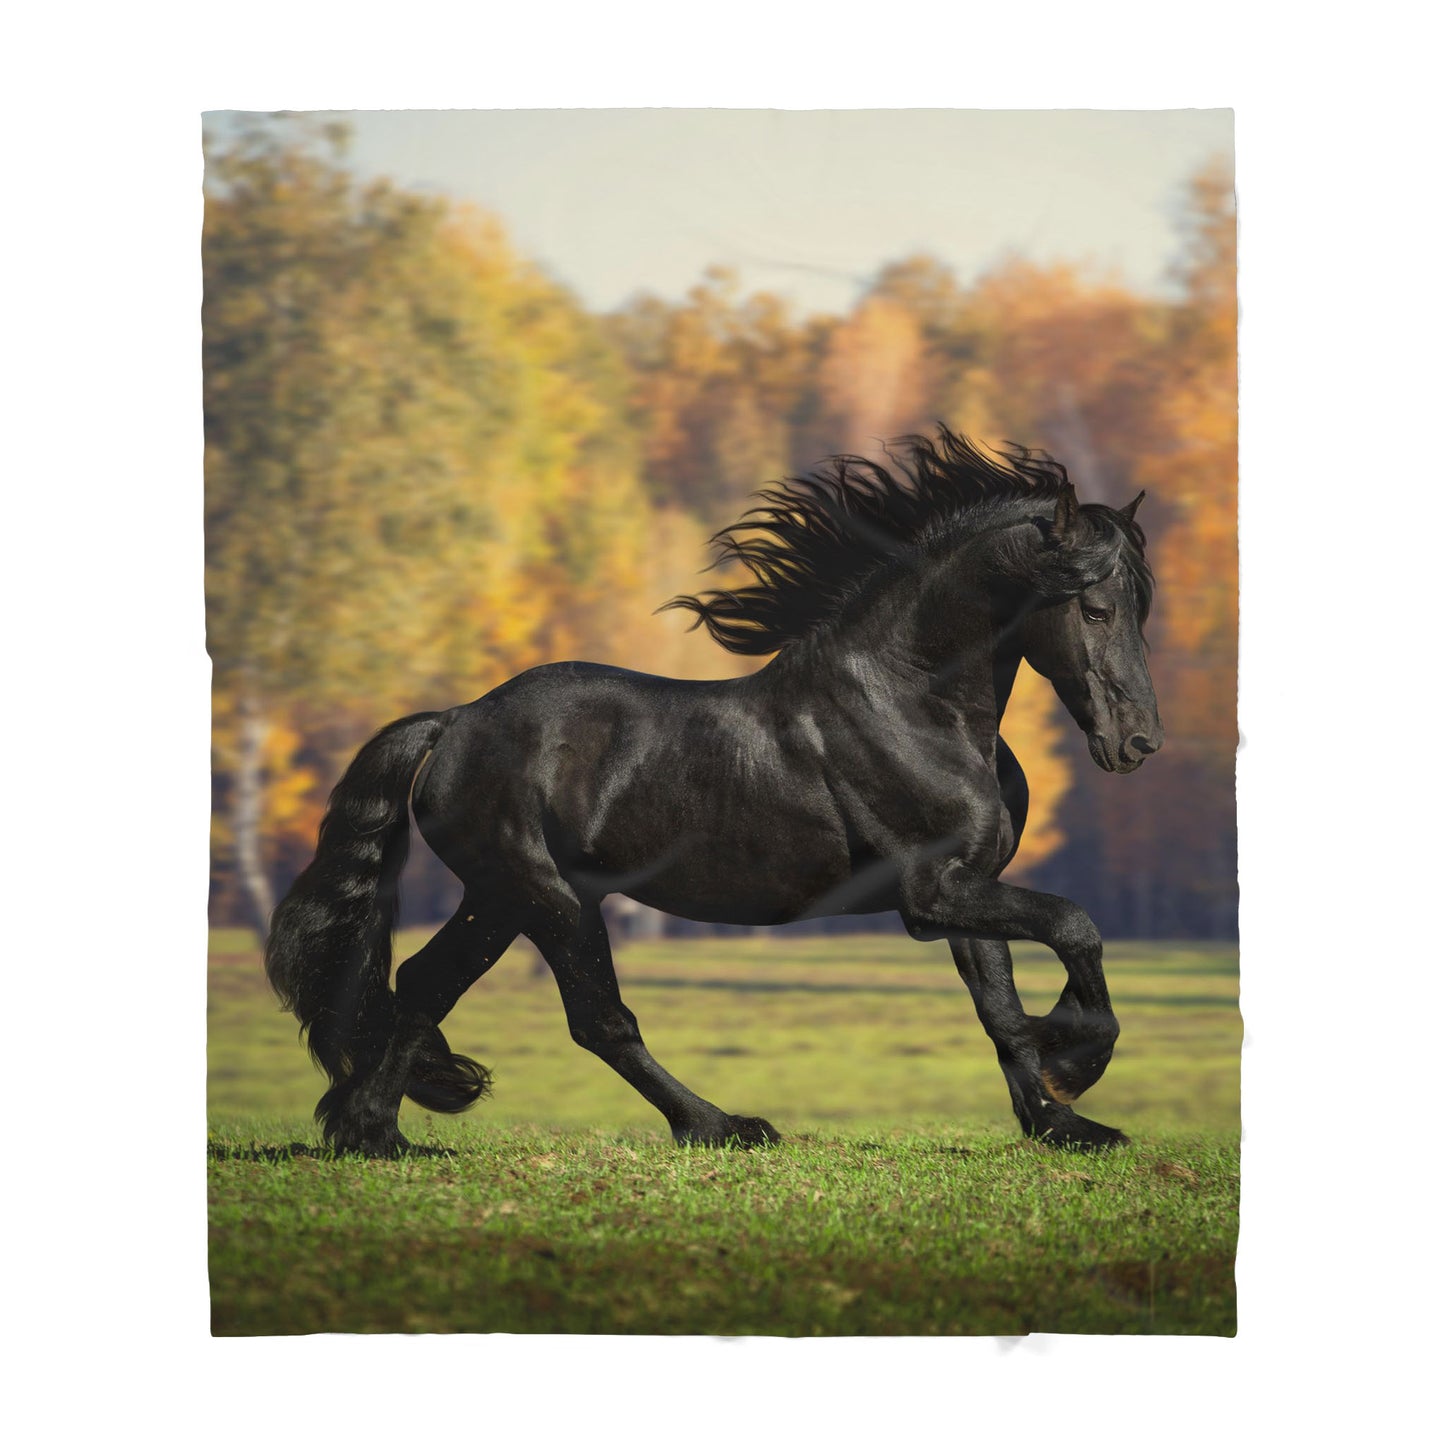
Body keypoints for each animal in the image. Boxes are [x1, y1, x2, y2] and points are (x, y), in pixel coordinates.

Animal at [265, 426, 1161, 1156]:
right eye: (1092, 605)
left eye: (1138, 609)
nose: (1137, 743)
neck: (910, 702)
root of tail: (454, 722)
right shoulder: (930, 890)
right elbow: (1073, 926)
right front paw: (1078, 1057)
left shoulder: (965, 886)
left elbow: (998, 1007)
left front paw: (1063, 1122)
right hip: (543, 895)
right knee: (585, 1016)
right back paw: (715, 1125)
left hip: (506, 896)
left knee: (440, 987)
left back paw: (376, 1132)